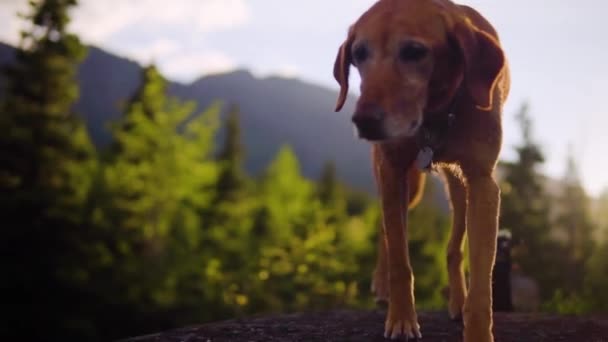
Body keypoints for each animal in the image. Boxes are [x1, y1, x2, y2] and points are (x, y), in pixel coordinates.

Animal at [332, 0, 508, 342]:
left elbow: (482, 284)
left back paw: (457, 300)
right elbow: (401, 260)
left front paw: (477, 329)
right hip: (408, 187)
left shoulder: (482, 183)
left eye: (414, 51)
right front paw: (401, 319)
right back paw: (382, 285)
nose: (364, 121)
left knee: (454, 246)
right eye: (358, 54)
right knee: (385, 231)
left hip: (459, 189)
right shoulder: (392, 170)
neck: (437, 113)